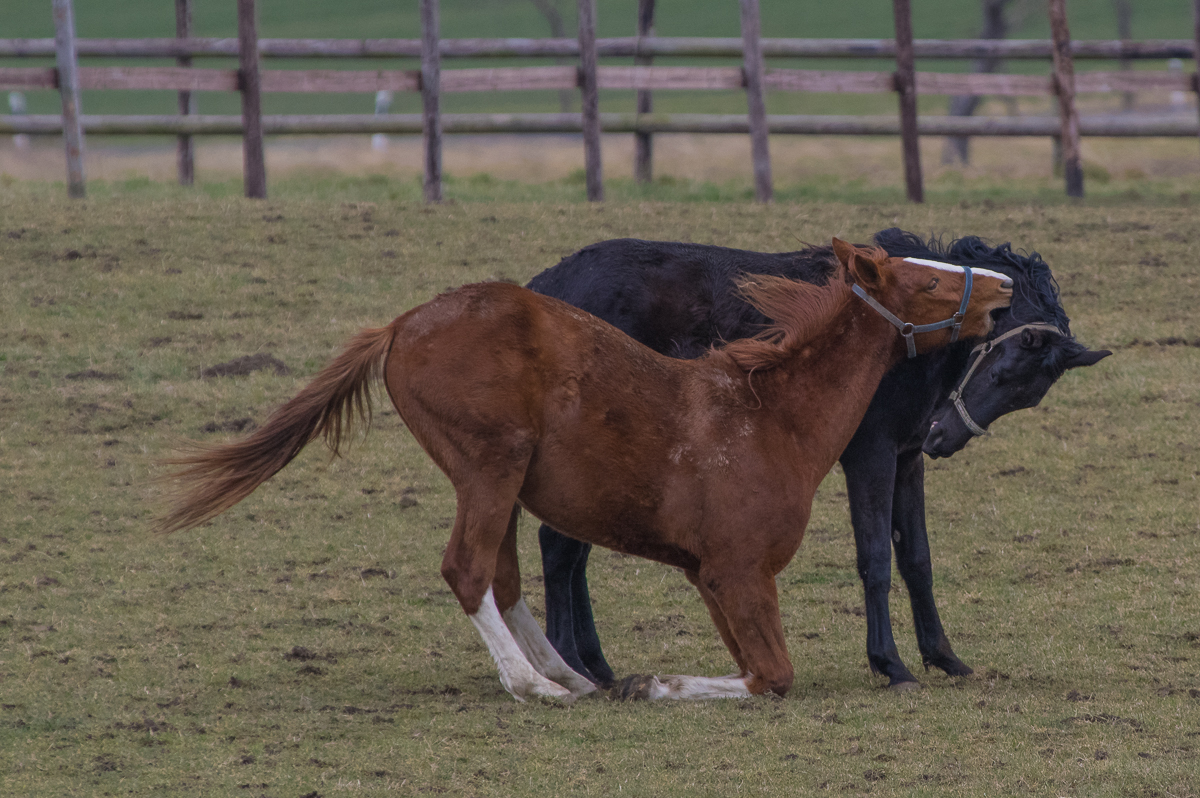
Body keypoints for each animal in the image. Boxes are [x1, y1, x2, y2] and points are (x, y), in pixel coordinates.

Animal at [154, 240, 1008, 700]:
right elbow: (772, 674)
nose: (1001, 289)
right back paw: (538, 685)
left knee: (502, 579)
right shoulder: (738, 573)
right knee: (470, 571)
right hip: (490, 468)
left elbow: (757, 664)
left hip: (499, 482)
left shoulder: (711, 580)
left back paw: (570, 675)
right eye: (928, 280)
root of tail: (401, 324)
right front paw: (655, 684)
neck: (770, 416)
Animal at [530, 226, 1108, 686]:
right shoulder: (871, 456)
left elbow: (917, 559)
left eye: (1026, 396)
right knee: (560, 551)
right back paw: (572, 665)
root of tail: (545, 286)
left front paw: (943, 657)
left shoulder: (907, 459)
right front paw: (890, 664)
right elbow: (875, 558)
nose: (943, 438)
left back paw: (594, 666)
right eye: (1002, 368)